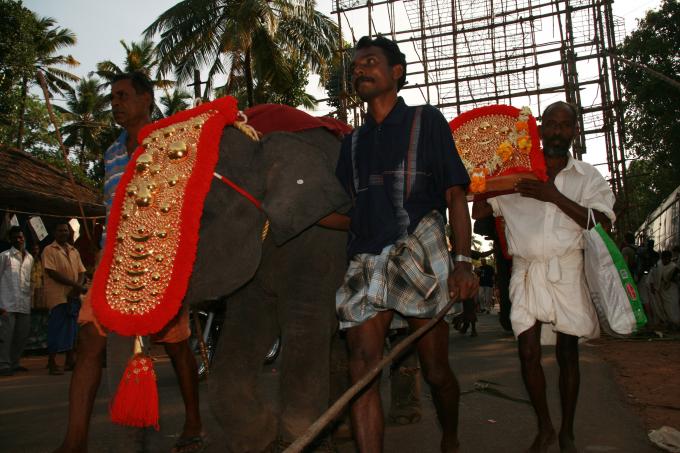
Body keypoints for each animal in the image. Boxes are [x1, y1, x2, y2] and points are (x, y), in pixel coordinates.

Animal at [183, 120, 351, 452]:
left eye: (203, 216)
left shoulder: (320, 238)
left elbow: (305, 324)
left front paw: (299, 437)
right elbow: (249, 325)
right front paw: (262, 438)